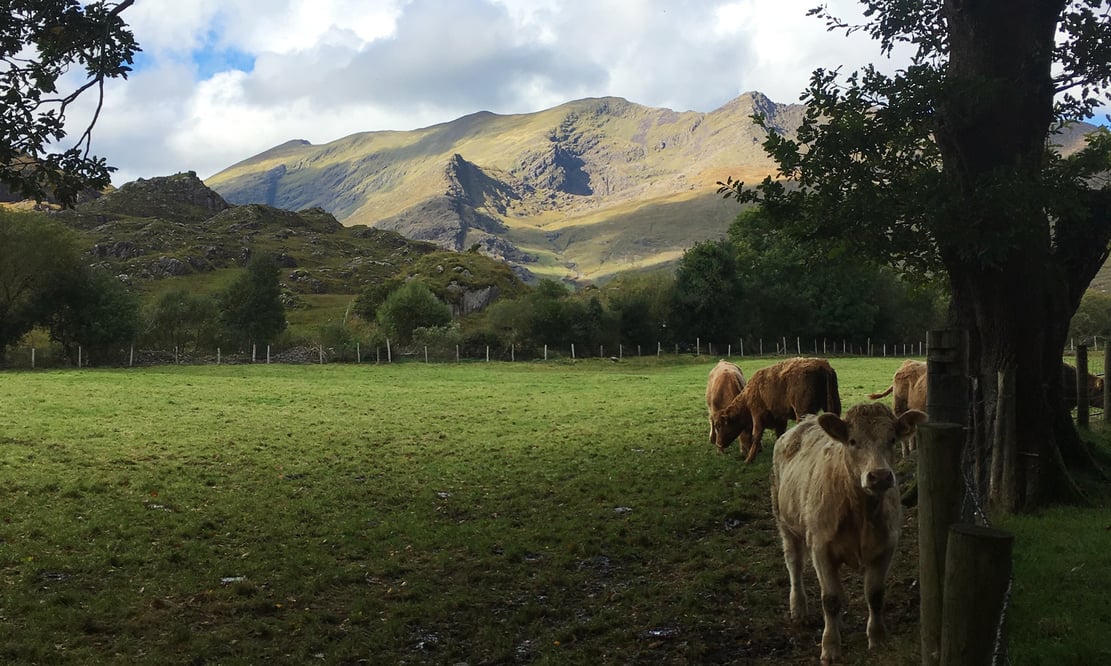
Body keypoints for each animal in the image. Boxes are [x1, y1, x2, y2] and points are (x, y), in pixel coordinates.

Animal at [711, 360, 839, 464]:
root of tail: (822, 365)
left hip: (802, 412)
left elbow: (756, 436)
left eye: (719, 426)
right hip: (831, 407)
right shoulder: (780, 419)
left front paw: (748, 460)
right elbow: (779, 435)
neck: (748, 395)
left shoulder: (757, 416)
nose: (718, 444)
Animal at [773, 404, 928, 662]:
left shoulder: (885, 547)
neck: (860, 513)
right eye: (853, 441)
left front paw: (877, 639)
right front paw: (830, 647)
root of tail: (806, 421)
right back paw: (799, 609)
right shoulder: (821, 548)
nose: (880, 476)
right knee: (794, 564)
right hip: (785, 524)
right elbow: (830, 599)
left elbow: (874, 594)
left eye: (892, 439)